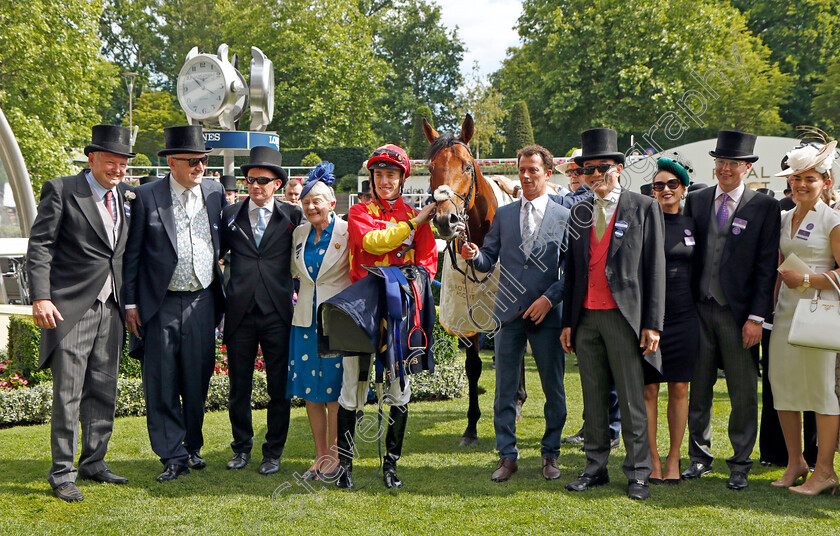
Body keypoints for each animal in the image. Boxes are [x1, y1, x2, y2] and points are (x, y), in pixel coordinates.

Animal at [426, 115, 524, 446]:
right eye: (430, 168)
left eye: (468, 166)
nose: (446, 220)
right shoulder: (467, 313)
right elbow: (473, 365)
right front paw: (471, 426)